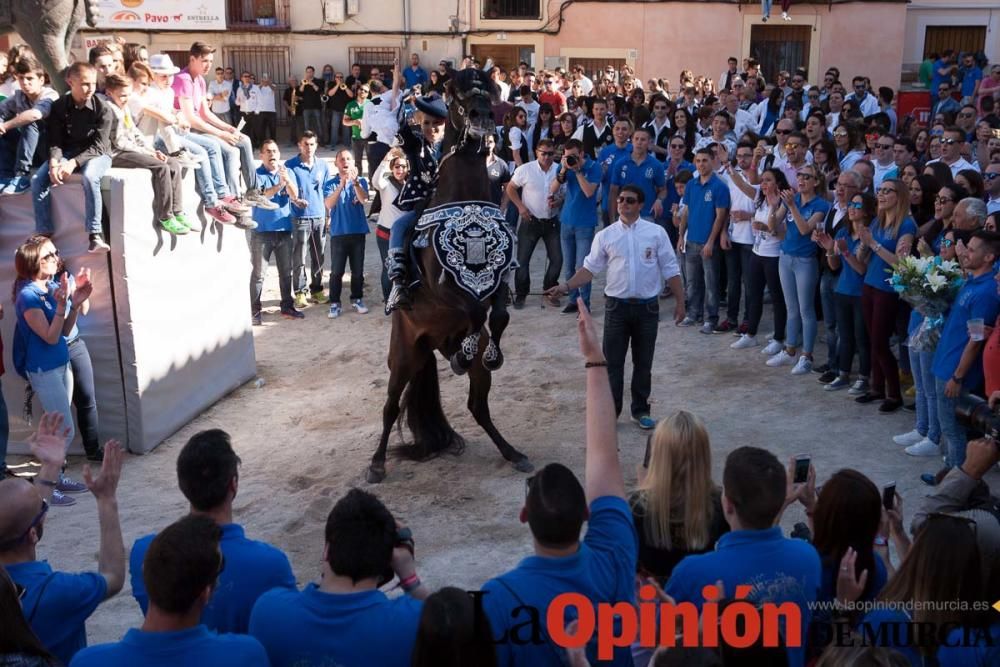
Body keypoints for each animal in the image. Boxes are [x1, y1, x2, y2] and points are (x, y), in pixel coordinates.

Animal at [368, 69, 536, 486]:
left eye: (488, 92)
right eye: (455, 93)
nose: (482, 119)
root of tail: (431, 344)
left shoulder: (498, 281)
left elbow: (498, 314)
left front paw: (488, 352)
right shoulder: (443, 287)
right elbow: (474, 310)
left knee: (478, 407)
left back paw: (512, 452)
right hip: (404, 357)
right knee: (390, 407)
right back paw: (376, 464)